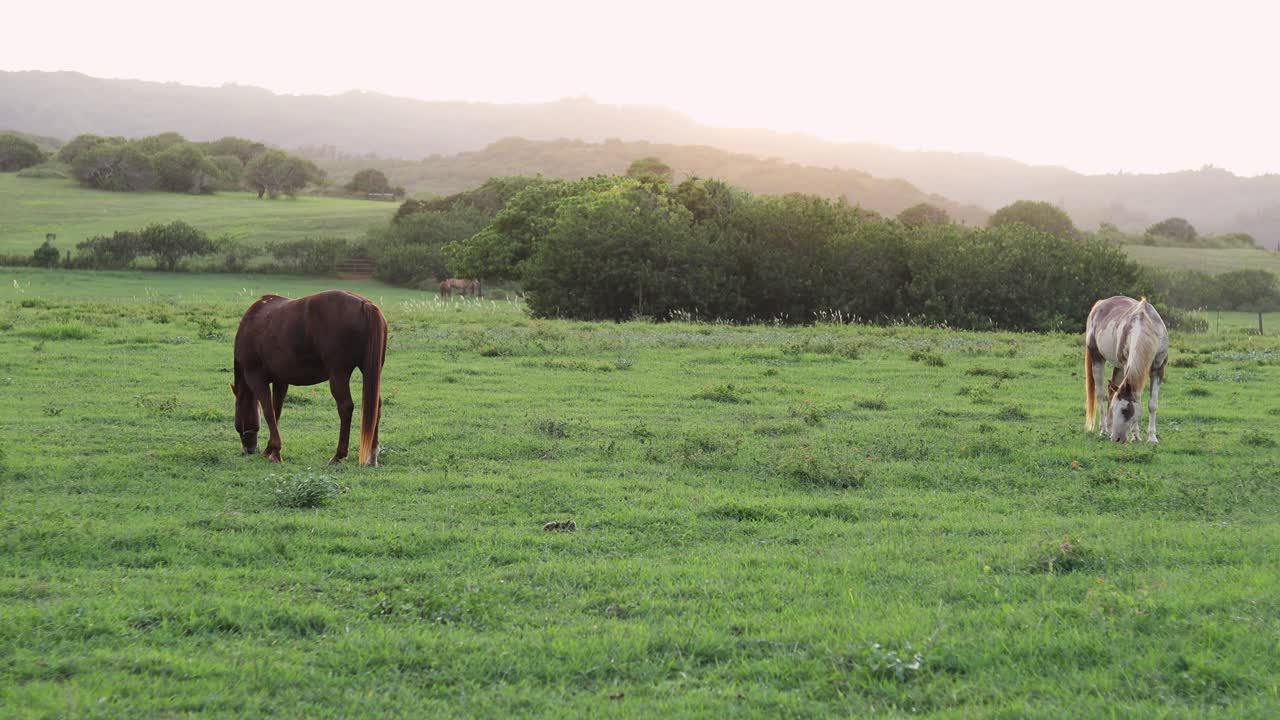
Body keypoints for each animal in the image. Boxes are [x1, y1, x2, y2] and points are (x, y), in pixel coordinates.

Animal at [232, 290, 387, 465]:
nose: (250, 449)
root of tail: (365, 305)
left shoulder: (256, 379)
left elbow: (268, 412)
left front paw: (275, 451)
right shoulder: (281, 381)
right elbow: (276, 410)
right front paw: (270, 449)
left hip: (338, 375)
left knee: (346, 407)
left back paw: (338, 455)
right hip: (369, 372)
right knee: (376, 406)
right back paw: (372, 456)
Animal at [1084, 296, 1168, 443]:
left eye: (1125, 410)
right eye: (1115, 409)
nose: (1116, 438)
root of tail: (1099, 304)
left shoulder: (1158, 369)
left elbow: (1152, 404)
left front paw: (1152, 438)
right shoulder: (1126, 365)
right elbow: (1138, 398)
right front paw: (1136, 435)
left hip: (1117, 367)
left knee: (1111, 391)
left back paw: (1109, 427)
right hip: (1097, 358)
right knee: (1100, 394)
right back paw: (1104, 430)